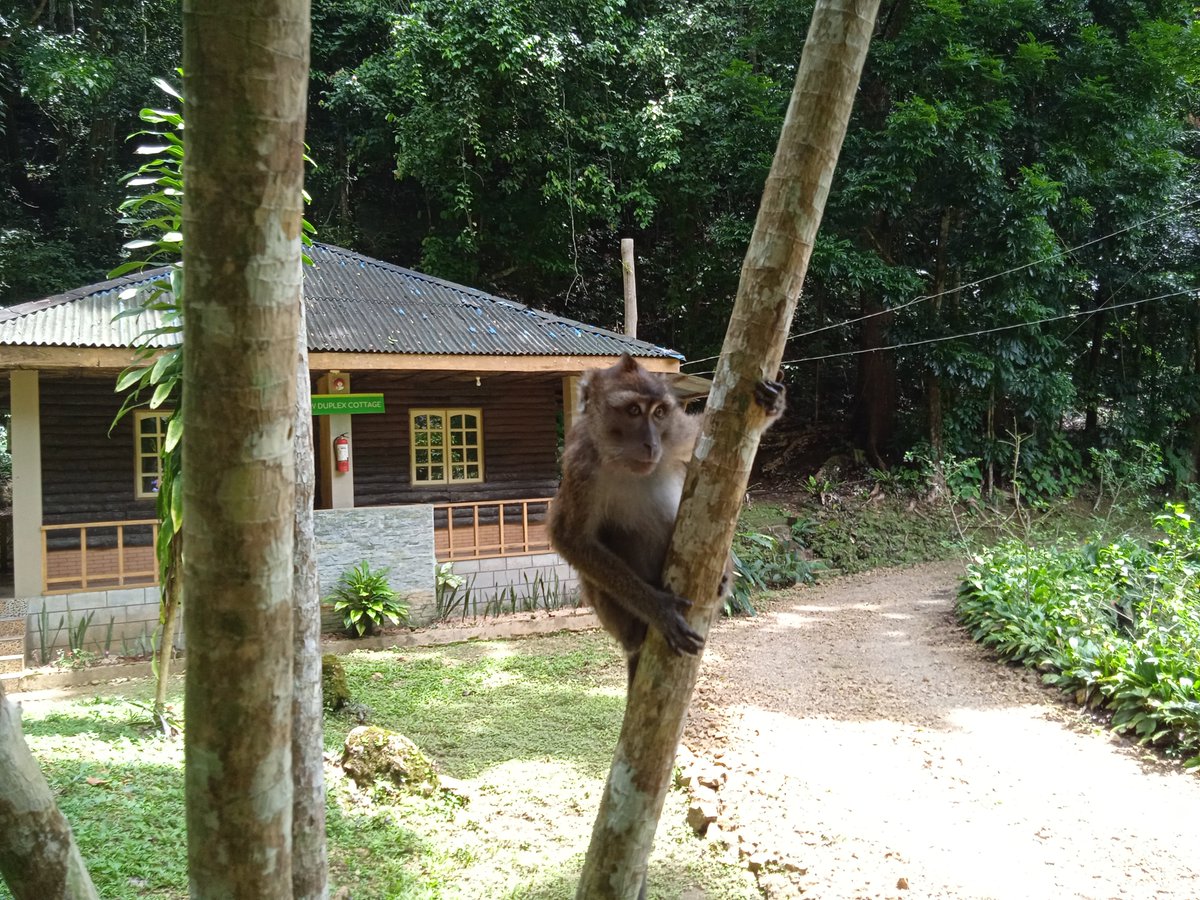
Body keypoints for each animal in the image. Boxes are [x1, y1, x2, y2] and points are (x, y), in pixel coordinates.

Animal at [548, 353, 785, 688]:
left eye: (659, 412)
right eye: (633, 410)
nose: (651, 444)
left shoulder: (675, 433)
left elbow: (704, 434)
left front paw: (772, 405)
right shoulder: (581, 465)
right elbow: (570, 537)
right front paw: (658, 608)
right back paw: (636, 633)